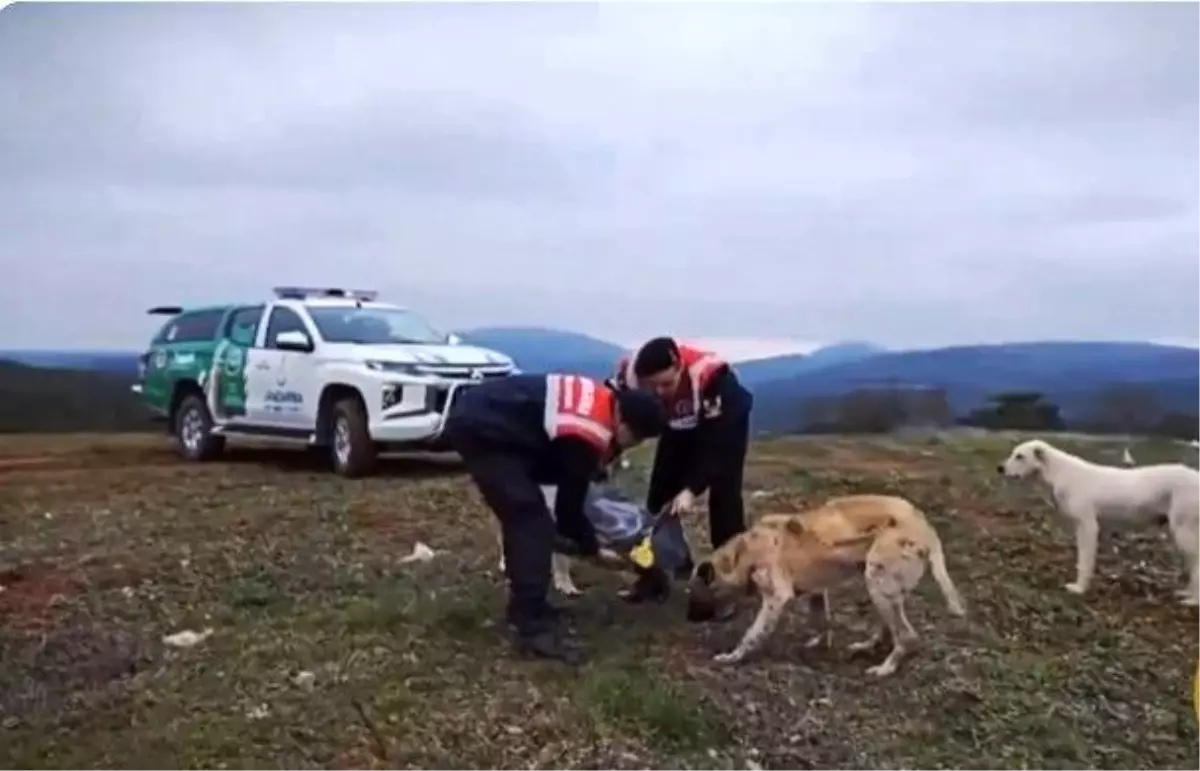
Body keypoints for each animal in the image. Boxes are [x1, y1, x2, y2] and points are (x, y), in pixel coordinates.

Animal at [686, 492, 964, 672]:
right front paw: (821, 642)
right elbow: (821, 621)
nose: (688, 619)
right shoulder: (816, 592)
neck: (743, 554)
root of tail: (923, 524)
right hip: (881, 588)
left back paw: (885, 668)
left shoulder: (776, 598)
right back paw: (868, 645)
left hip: (877, 584)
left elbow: (752, 635)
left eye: (693, 594)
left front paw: (733, 657)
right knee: (889, 628)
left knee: (907, 636)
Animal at [998, 434, 1200, 602]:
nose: (999, 468)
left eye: (1020, 456)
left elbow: (1084, 561)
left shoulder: (1087, 527)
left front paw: (1079, 588)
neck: (1060, 472)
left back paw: (1193, 600)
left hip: (1185, 533)